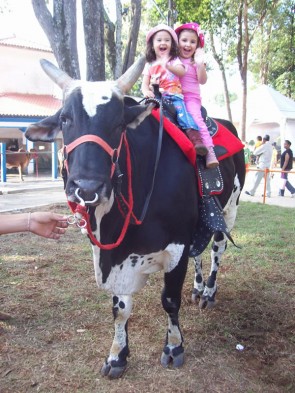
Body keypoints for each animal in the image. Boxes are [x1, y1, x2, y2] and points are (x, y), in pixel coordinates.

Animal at [25, 57, 246, 376]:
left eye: (119, 124)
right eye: (65, 119)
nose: (86, 187)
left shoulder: (177, 245)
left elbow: (170, 300)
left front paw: (174, 347)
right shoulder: (119, 252)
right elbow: (120, 309)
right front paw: (117, 355)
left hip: (228, 209)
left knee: (217, 248)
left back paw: (208, 292)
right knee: (201, 252)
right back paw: (197, 287)